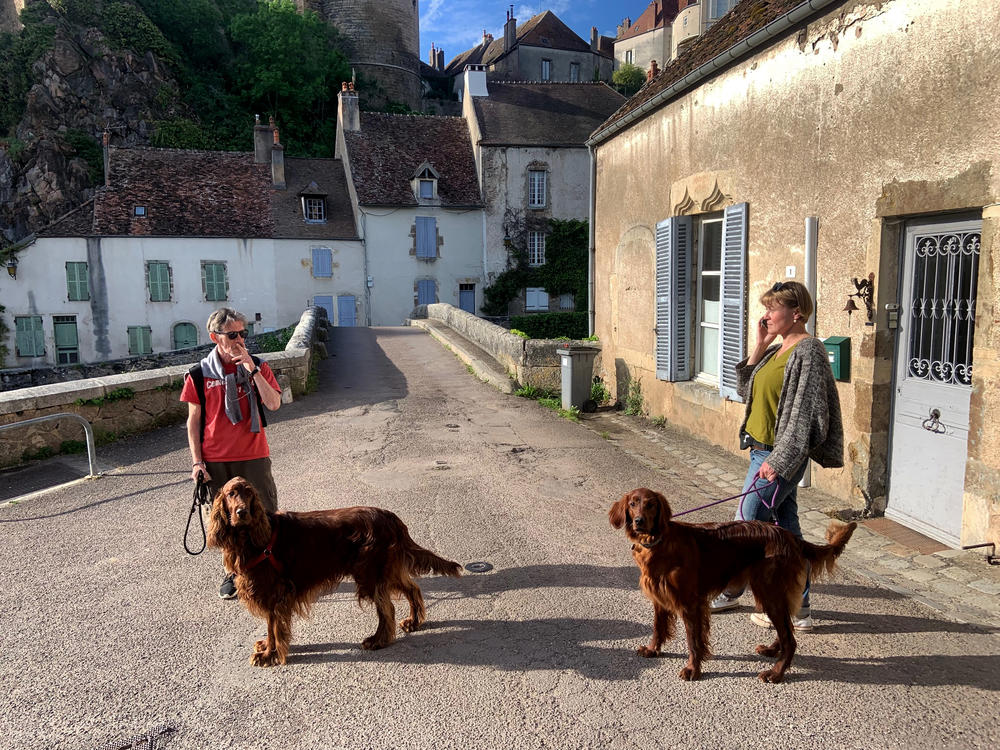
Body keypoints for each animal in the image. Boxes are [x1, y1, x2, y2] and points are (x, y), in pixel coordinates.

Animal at [210, 478, 464, 668]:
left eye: (249, 494)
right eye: (231, 494)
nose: (242, 512)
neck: (250, 539)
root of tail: (391, 517)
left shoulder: (275, 593)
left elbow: (274, 627)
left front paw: (269, 655)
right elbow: (271, 627)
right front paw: (266, 648)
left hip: (369, 574)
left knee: (387, 609)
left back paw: (377, 640)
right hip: (385, 571)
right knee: (412, 588)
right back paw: (413, 621)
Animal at [604, 490, 856, 684]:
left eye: (651, 504)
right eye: (633, 504)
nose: (639, 521)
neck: (658, 542)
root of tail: (789, 536)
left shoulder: (689, 602)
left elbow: (693, 640)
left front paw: (693, 669)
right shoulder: (660, 597)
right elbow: (658, 627)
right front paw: (653, 649)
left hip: (769, 592)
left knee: (790, 639)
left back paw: (775, 673)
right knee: (787, 630)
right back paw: (772, 650)